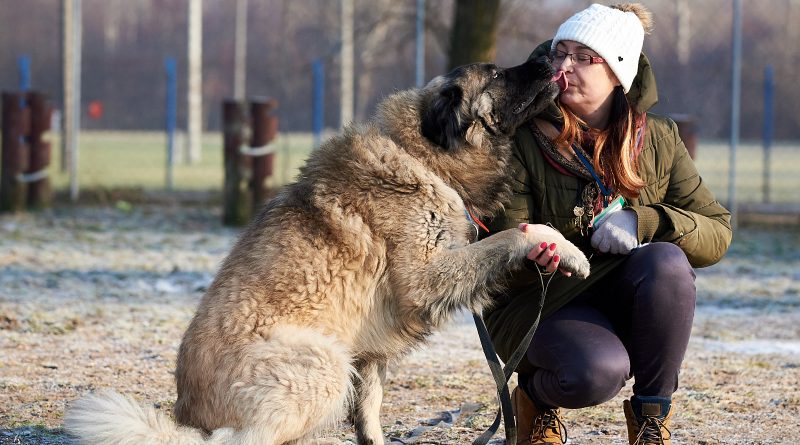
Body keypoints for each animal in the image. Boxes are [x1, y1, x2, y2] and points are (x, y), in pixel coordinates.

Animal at [67, 59, 588, 444]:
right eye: (497, 74)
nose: (549, 56)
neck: (422, 156)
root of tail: (188, 418)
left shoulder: (371, 349)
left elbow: (370, 414)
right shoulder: (426, 277)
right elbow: (515, 234)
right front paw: (567, 250)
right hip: (324, 363)